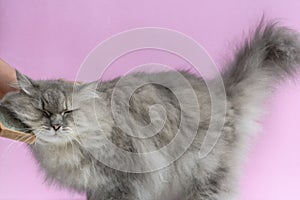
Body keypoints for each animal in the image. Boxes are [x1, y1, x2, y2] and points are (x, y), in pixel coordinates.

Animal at [1, 21, 300, 199]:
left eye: (67, 111)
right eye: (43, 109)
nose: (55, 125)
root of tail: (222, 89)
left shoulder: (123, 183)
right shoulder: (97, 188)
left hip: (205, 176)